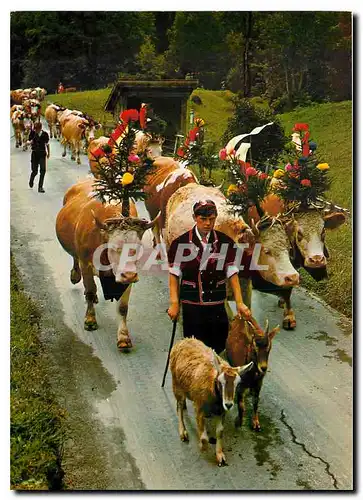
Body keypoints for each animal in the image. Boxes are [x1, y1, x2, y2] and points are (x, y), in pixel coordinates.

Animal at [55, 178, 159, 350]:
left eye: (137, 247)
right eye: (114, 247)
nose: (129, 275)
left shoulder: (126, 275)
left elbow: (122, 308)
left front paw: (123, 337)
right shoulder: (86, 264)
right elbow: (90, 290)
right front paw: (90, 320)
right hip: (77, 252)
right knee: (75, 259)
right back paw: (75, 276)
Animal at [170, 338, 253, 466]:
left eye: (238, 383)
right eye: (220, 381)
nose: (229, 404)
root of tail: (183, 340)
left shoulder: (221, 411)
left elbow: (220, 432)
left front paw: (220, 456)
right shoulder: (199, 406)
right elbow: (204, 437)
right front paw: (203, 447)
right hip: (176, 384)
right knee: (178, 407)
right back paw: (183, 432)